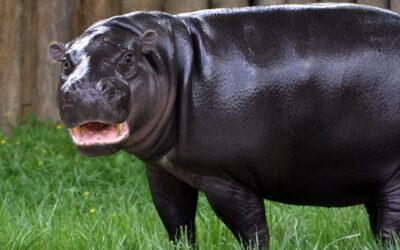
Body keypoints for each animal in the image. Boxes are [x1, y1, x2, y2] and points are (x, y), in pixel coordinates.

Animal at [49, 3, 400, 248]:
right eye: (65, 61)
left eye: (127, 58)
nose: (84, 88)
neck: (169, 63)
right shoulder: (163, 171)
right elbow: (176, 220)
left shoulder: (225, 179)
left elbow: (251, 228)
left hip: (393, 176)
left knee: (390, 226)